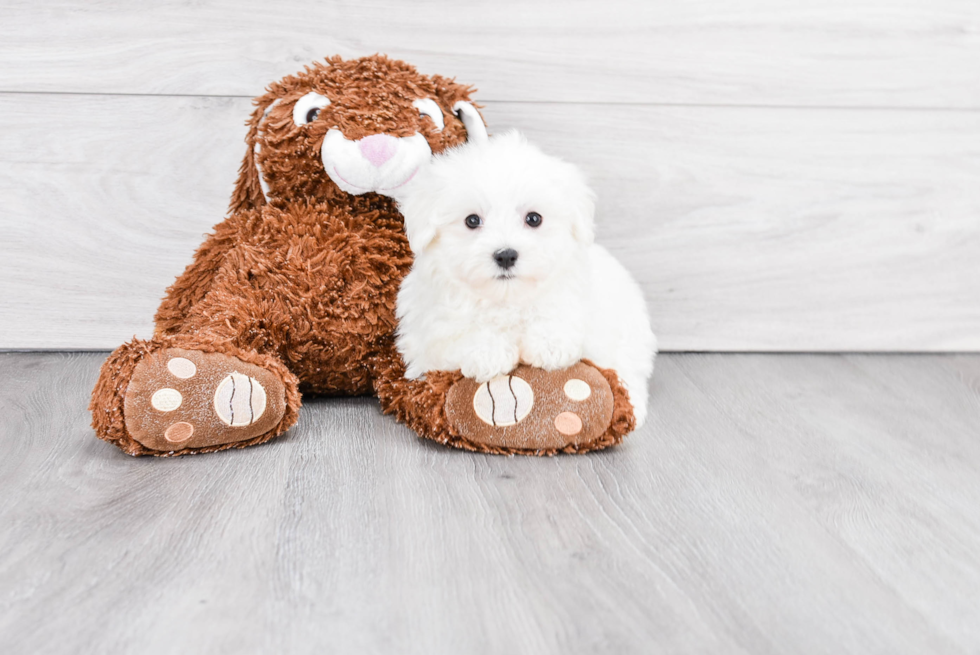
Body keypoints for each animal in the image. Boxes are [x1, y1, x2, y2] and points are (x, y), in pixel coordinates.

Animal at [392, 131, 660, 428]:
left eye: (534, 219)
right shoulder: (425, 337)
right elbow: (456, 332)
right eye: (472, 220)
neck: (507, 299)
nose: (506, 255)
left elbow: (559, 310)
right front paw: (488, 352)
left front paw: (550, 344)